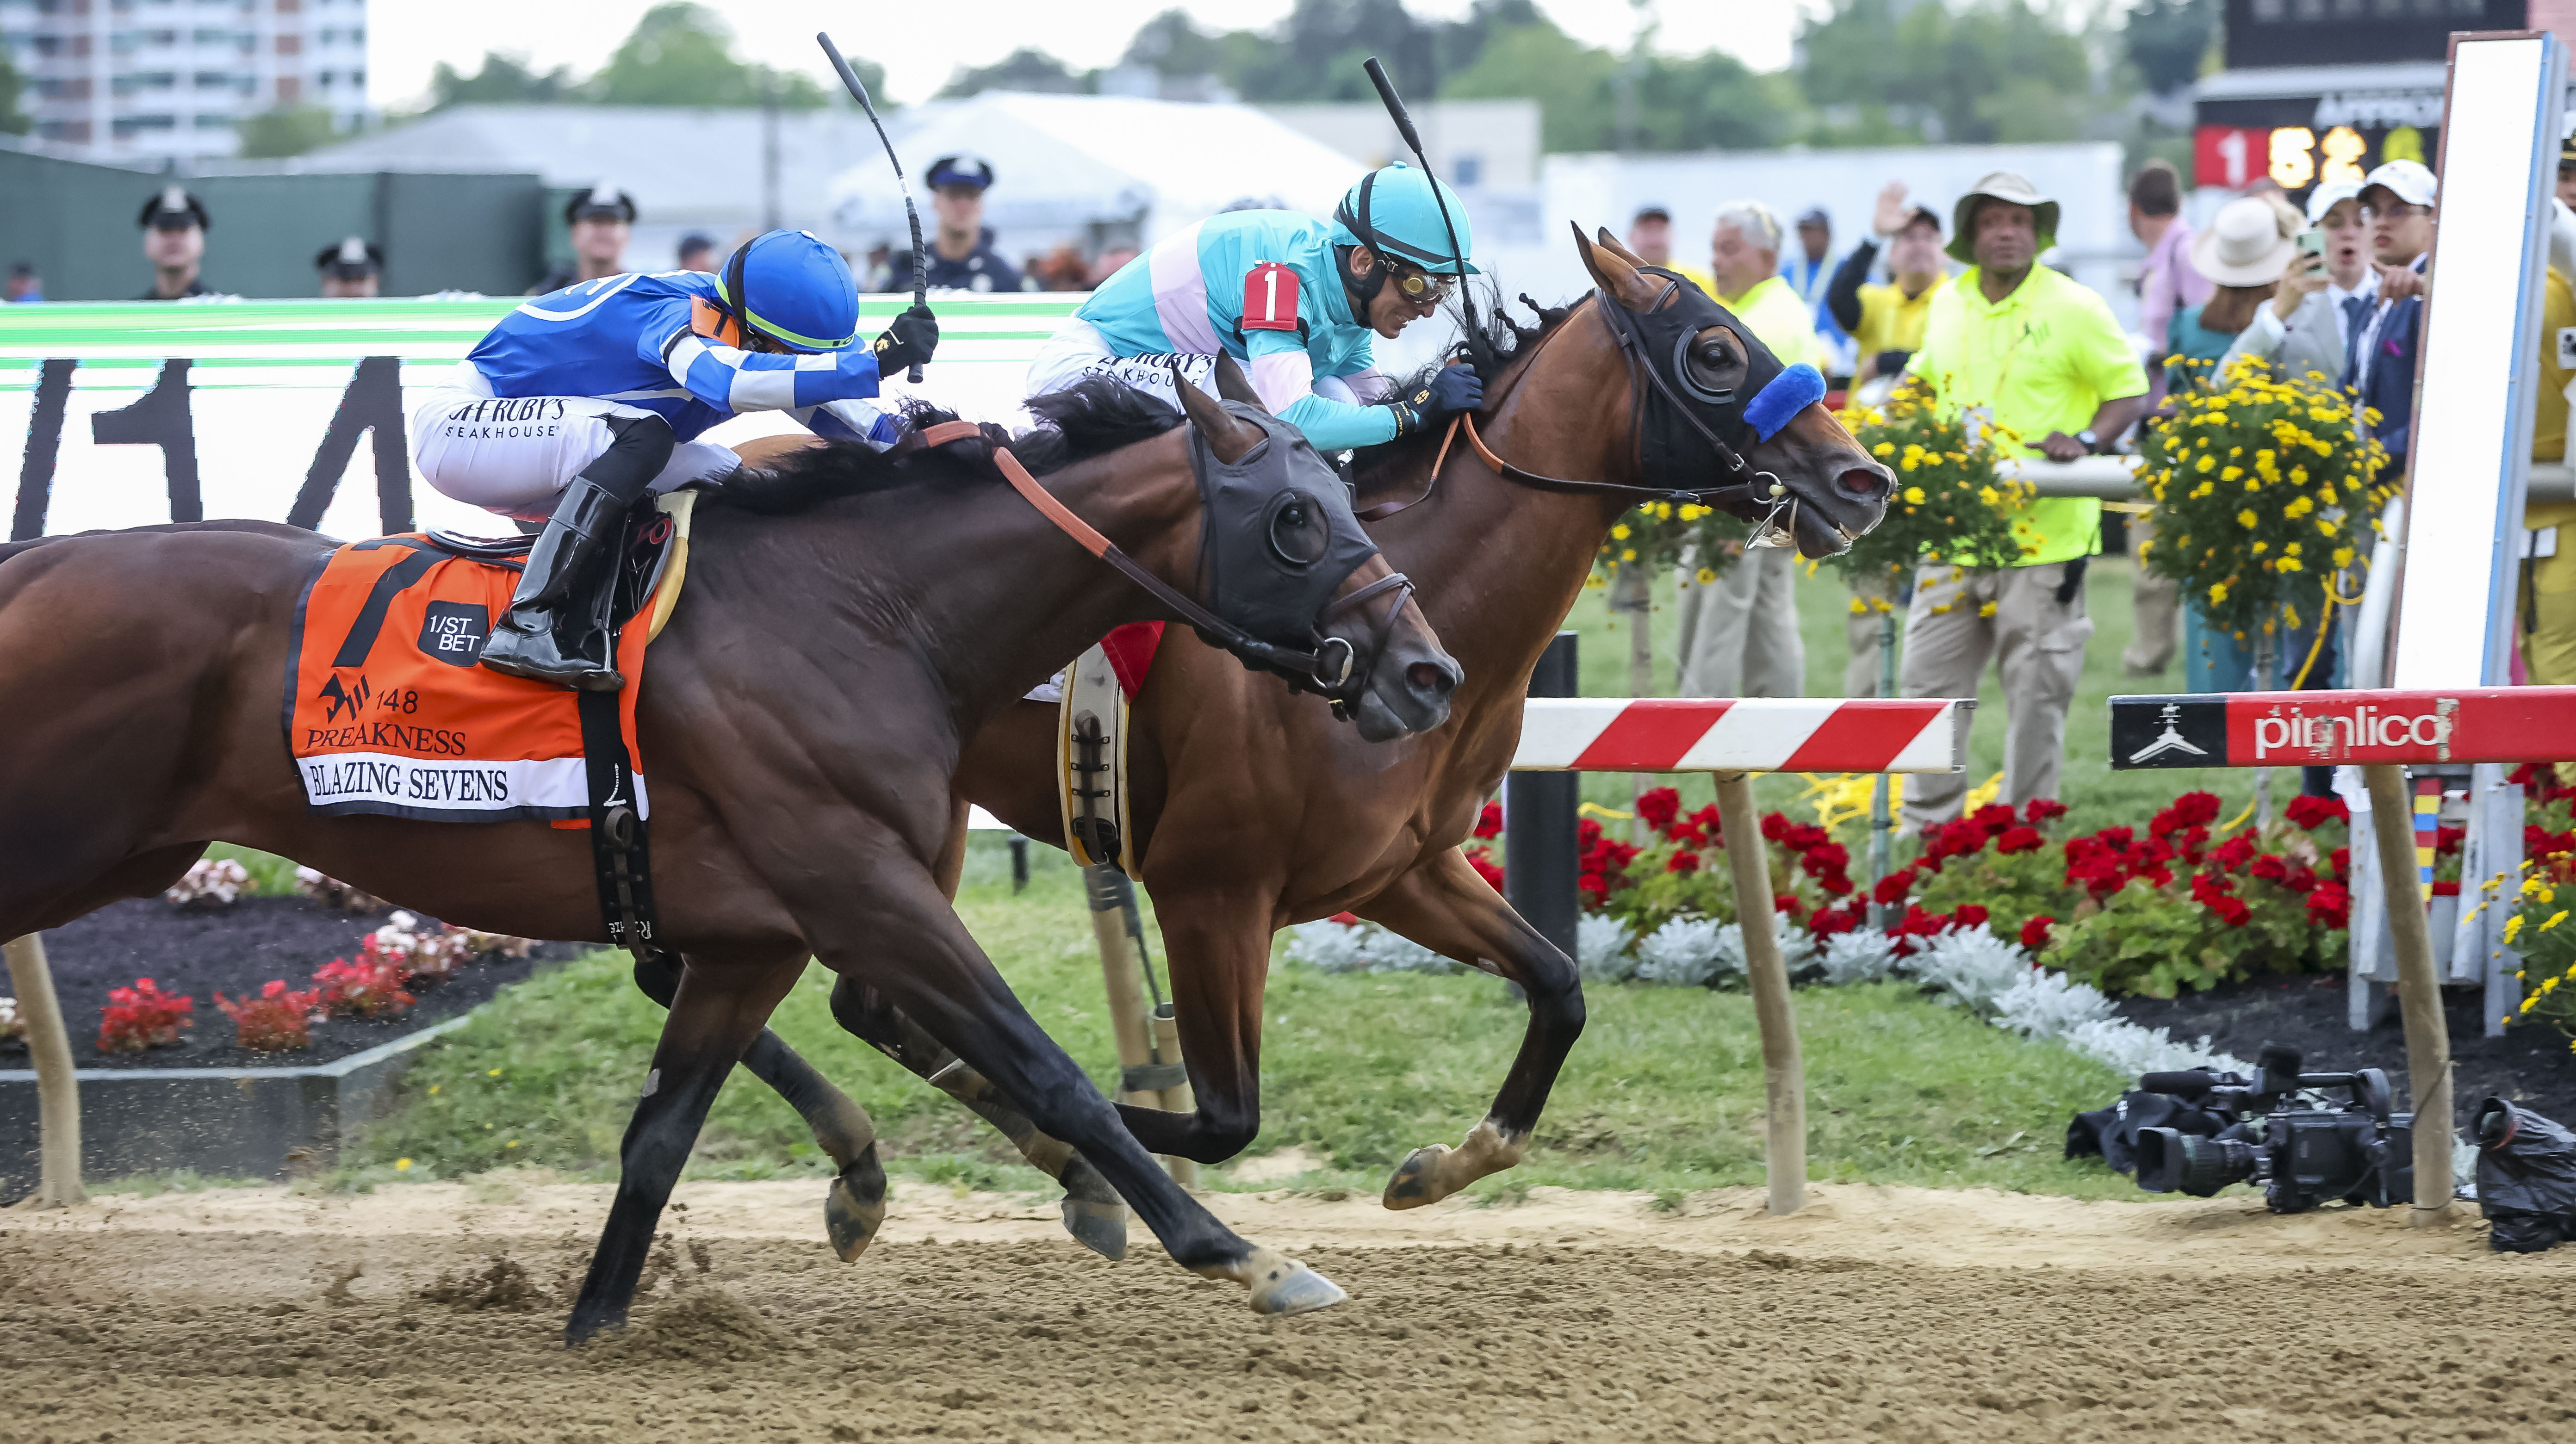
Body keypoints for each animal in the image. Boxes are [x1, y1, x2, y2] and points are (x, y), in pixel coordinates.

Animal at [0, 378, 1452, 1338]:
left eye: (1348, 500)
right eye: (1294, 522)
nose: (1427, 673)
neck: (867, 614)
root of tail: (34, 568)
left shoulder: (760, 930)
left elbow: (659, 1134)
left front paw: (595, 1319)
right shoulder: (865, 890)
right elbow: (1051, 1071)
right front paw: (1244, 1255)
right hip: (66, 834)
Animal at [726, 223, 1896, 1240]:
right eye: (1714, 350)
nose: (1866, 478)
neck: (1424, 604)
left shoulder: (1400, 868)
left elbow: (1559, 989)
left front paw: (1439, 1164)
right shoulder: (1208, 889)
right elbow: (1212, 1117)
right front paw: (1087, 1159)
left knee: (847, 996)